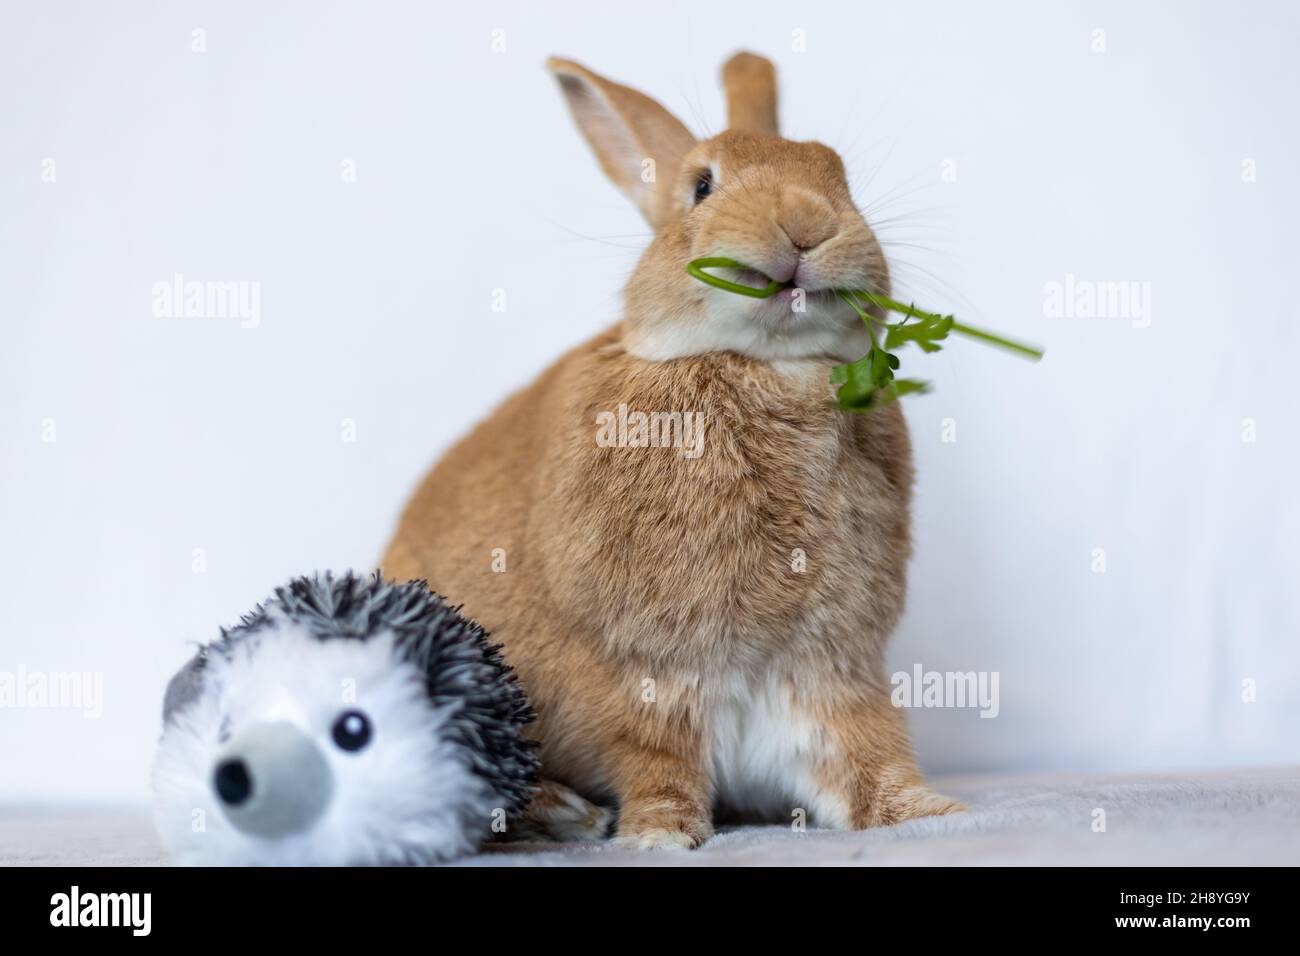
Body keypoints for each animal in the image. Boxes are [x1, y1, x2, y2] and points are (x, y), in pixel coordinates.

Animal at [382, 51, 963, 849]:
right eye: (702, 186)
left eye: (840, 178)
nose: (808, 222)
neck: (772, 368)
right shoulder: (642, 672)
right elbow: (656, 757)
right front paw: (660, 834)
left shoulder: (831, 668)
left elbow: (864, 748)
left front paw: (927, 814)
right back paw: (566, 812)